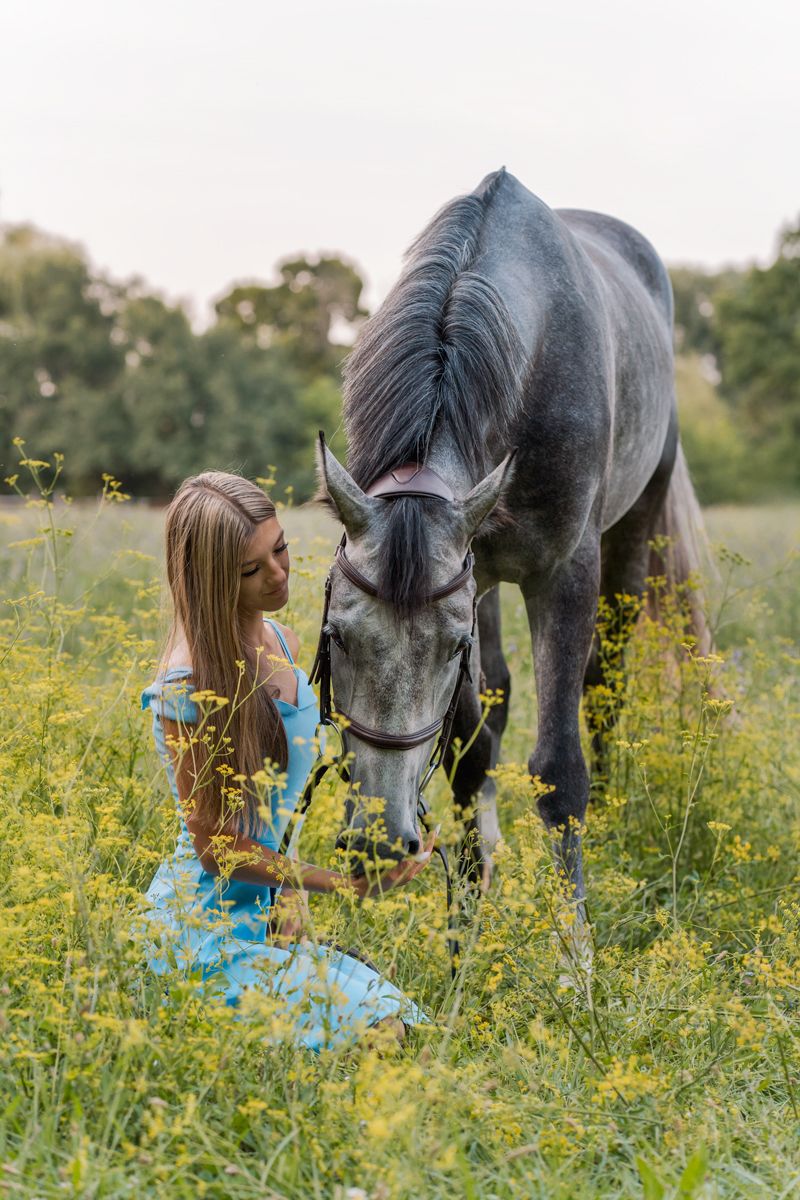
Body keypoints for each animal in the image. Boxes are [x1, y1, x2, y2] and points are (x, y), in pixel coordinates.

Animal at [315, 166, 709, 933]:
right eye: (338, 637)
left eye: (450, 647)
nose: (380, 844)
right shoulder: (473, 575)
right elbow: (469, 759)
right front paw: (467, 915)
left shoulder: (562, 576)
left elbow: (558, 771)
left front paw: (574, 944)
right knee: (496, 701)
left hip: (632, 537)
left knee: (605, 684)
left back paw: (608, 818)